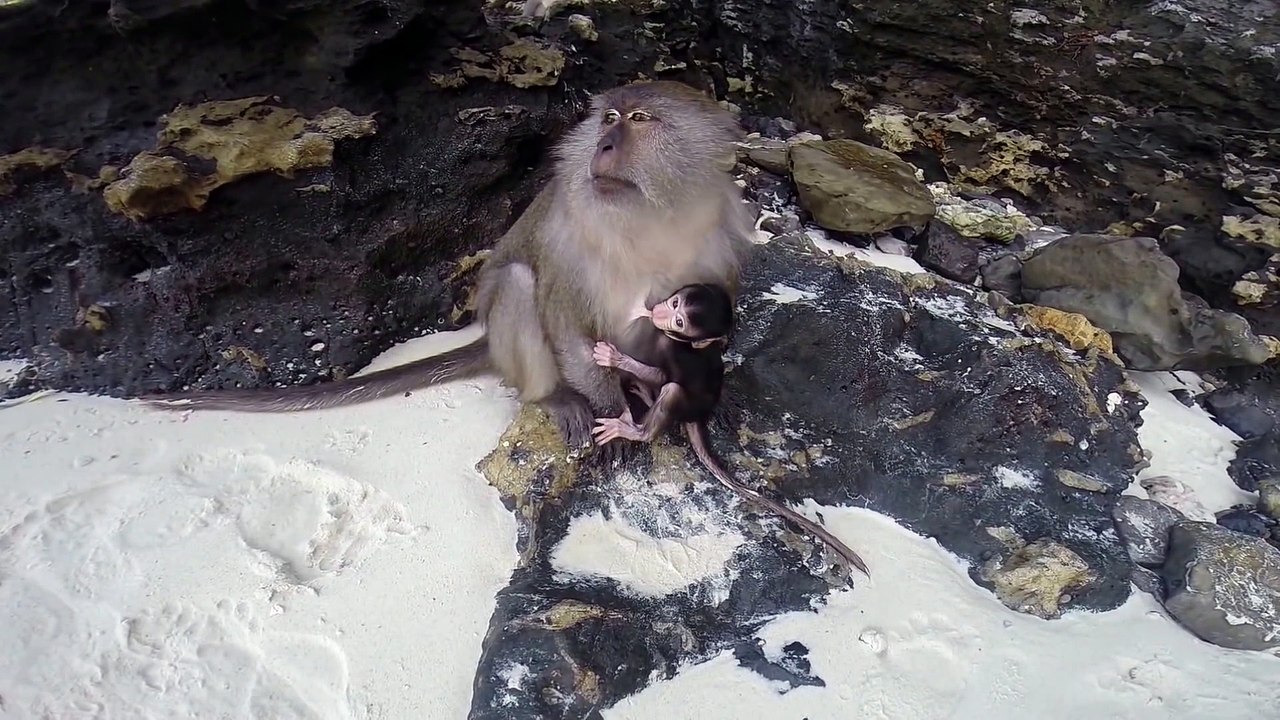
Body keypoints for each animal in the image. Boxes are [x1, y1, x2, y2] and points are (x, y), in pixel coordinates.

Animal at [144, 81, 757, 459]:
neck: (653, 213)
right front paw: (617, 415)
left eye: (639, 119)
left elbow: (706, 325)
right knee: (519, 285)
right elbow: (565, 322)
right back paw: (554, 396)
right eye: (608, 117)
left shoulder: (723, 230)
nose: (603, 144)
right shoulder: (569, 231)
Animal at [591, 284, 871, 577]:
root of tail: (700, 415)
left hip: (683, 405)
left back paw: (636, 426)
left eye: (679, 322)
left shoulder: (674, 352)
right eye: (675, 302)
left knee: (671, 390)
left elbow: (664, 375)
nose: (660, 311)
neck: (683, 343)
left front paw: (615, 358)